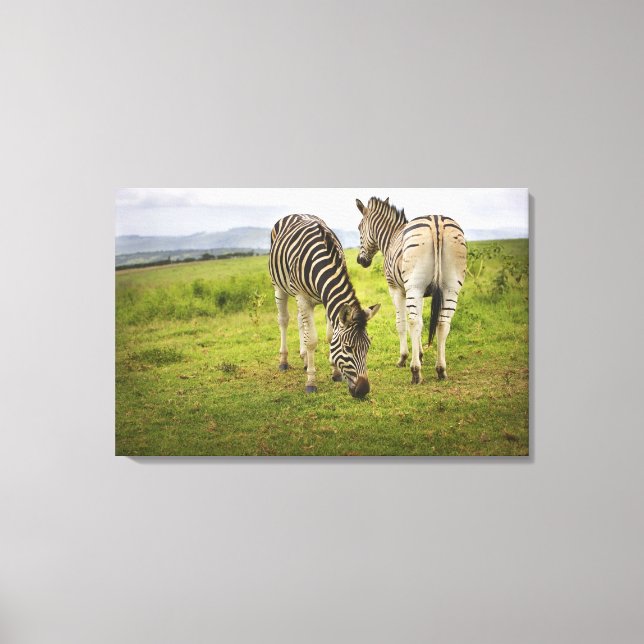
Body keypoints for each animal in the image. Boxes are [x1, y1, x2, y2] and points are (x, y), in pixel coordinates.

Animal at [269, 214, 381, 397]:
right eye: (348, 348)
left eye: (367, 347)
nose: (363, 390)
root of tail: (296, 213)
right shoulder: (302, 296)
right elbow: (312, 340)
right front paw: (311, 381)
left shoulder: (326, 299)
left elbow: (329, 336)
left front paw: (335, 372)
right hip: (279, 287)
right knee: (284, 320)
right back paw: (284, 361)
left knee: (300, 322)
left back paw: (304, 359)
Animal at [355, 197, 467, 385]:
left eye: (359, 228)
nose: (360, 261)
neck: (391, 238)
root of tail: (436, 221)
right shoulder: (420, 293)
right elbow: (420, 322)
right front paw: (420, 354)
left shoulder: (397, 290)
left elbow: (402, 324)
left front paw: (403, 357)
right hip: (451, 287)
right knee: (443, 323)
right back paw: (441, 369)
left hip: (416, 285)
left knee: (414, 322)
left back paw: (415, 371)